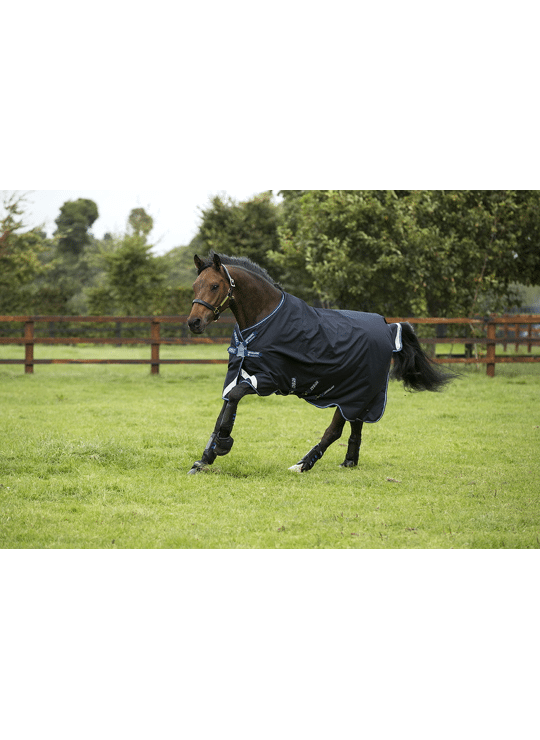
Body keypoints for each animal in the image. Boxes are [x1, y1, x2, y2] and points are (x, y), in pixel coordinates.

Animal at [187, 252, 454, 474]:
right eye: (195, 286)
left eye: (215, 285)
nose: (194, 322)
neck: (265, 319)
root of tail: (388, 327)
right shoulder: (241, 374)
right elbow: (224, 409)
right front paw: (205, 458)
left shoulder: (269, 379)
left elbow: (233, 399)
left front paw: (222, 445)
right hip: (361, 394)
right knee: (356, 424)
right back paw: (348, 461)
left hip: (355, 392)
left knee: (335, 430)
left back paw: (303, 464)